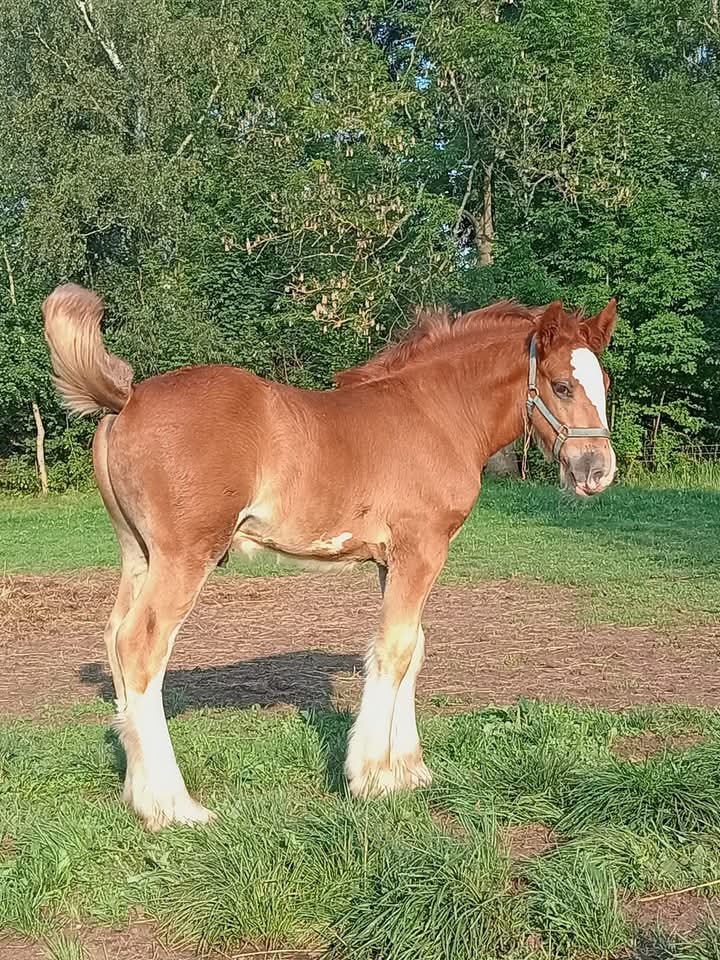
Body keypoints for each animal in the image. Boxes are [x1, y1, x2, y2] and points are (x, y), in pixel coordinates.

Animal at [43, 285, 616, 830]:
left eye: (605, 384)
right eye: (562, 386)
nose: (597, 470)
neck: (434, 413)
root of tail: (128, 398)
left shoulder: (392, 560)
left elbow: (414, 648)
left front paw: (409, 771)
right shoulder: (422, 548)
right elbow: (396, 650)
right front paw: (371, 778)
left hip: (138, 554)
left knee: (115, 635)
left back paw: (138, 795)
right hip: (184, 556)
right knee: (142, 646)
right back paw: (172, 806)